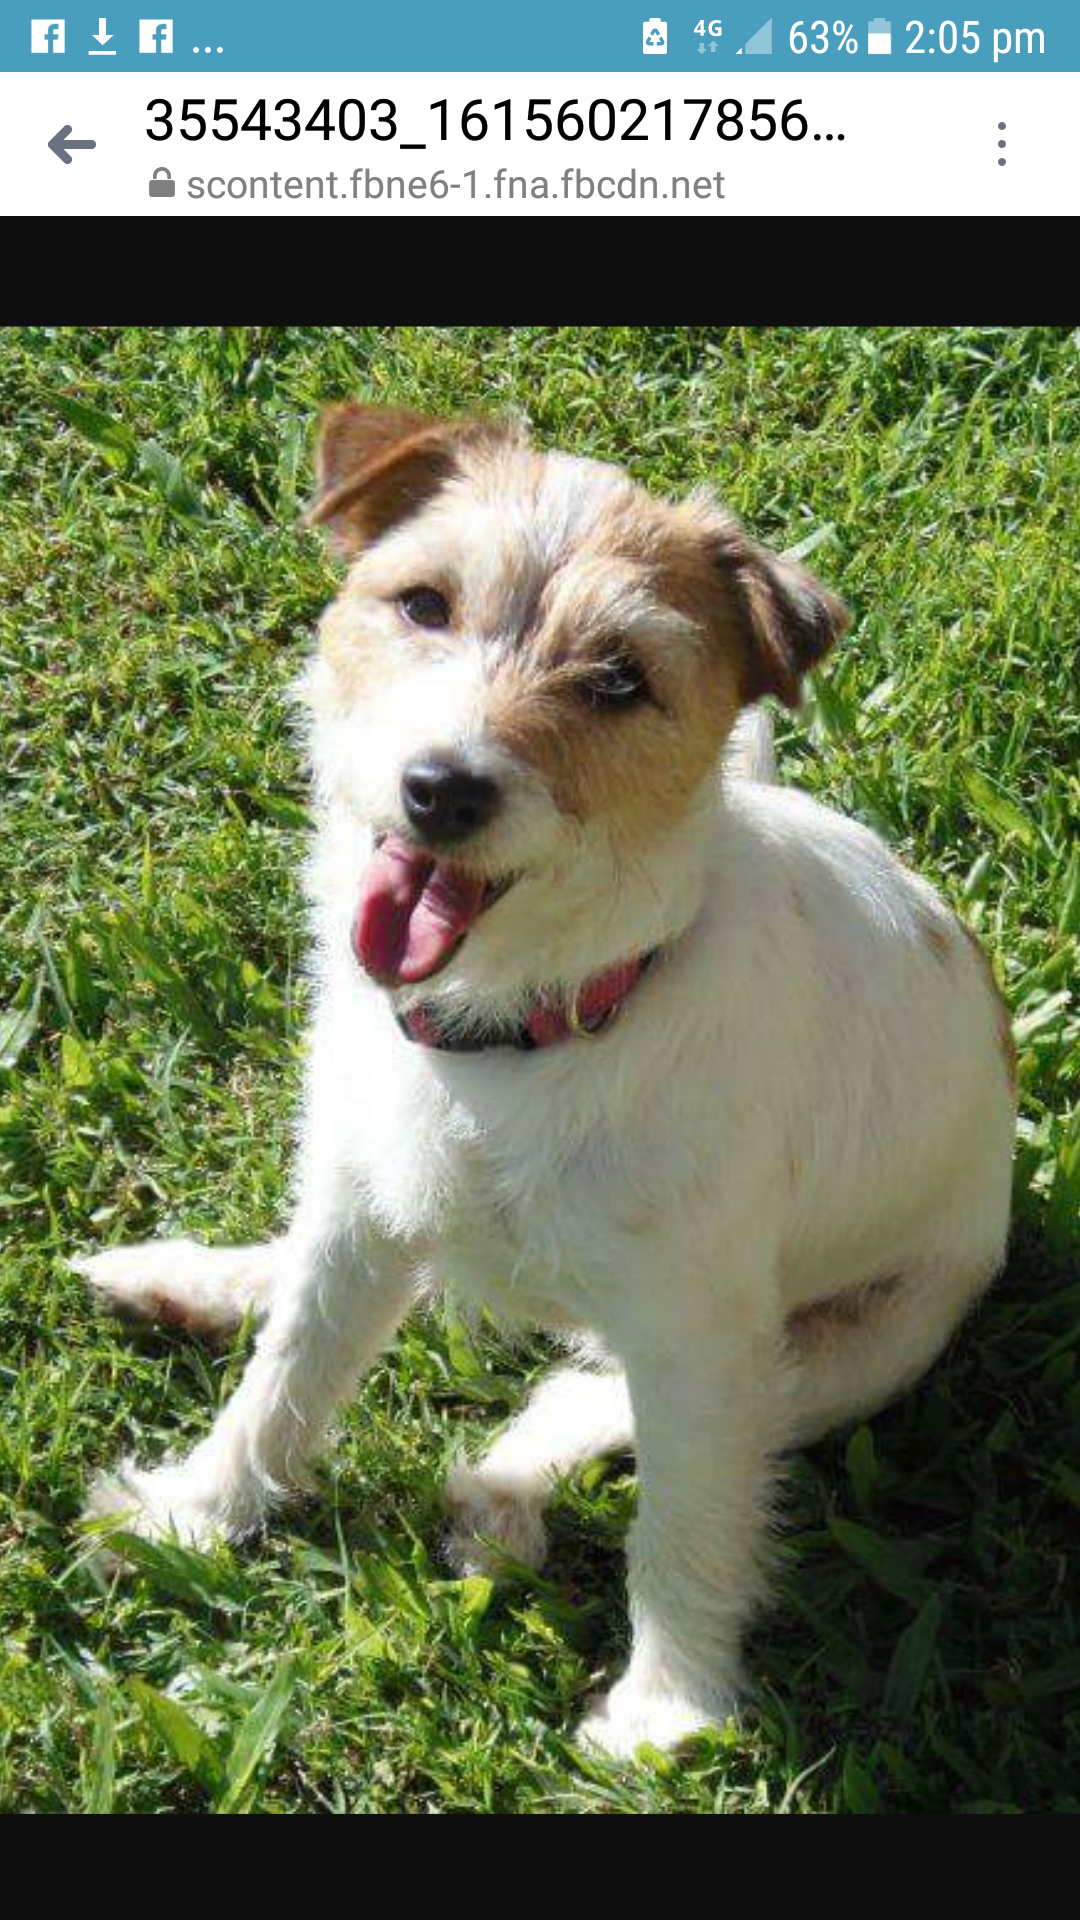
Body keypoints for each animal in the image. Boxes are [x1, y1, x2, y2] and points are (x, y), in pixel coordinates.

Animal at [75, 407, 1016, 1759]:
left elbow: (686, 1530)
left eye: (620, 679)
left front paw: (666, 1714)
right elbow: (288, 1378)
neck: (528, 1028)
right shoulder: (362, 1211)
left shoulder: (700, 1341)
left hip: (861, 1347)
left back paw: (500, 1495)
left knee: (583, 1401)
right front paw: (192, 1516)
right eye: (423, 604)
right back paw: (193, 1282)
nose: (442, 788)